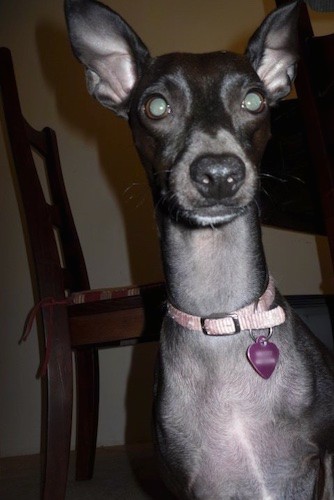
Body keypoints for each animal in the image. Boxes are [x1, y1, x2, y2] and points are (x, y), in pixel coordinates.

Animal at [64, 0, 332, 496]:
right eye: (155, 105)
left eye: (254, 100)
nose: (219, 173)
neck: (223, 317)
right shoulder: (187, 485)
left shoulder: (314, 465)